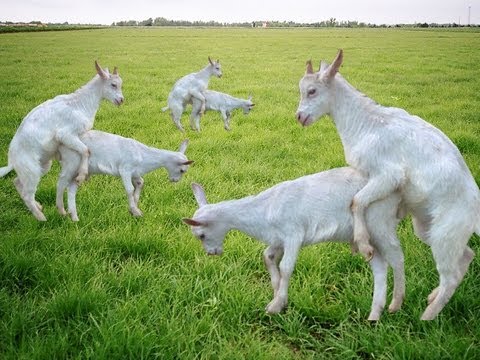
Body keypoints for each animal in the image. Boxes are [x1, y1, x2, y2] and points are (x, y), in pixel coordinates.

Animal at [0, 60, 124, 221]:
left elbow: (86, 149)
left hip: (40, 166)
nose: (121, 100)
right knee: (27, 193)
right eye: (113, 85)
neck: (80, 104)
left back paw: (38, 207)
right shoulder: (65, 134)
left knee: (17, 182)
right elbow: (86, 150)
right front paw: (81, 175)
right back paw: (42, 218)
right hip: (31, 169)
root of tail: (11, 159)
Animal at [58, 131, 195, 221]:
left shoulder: (135, 173)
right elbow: (129, 189)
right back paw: (62, 210)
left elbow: (140, 183)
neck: (143, 155)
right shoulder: (125, 169)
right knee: (61, 181)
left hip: (79, 172)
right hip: (72, 162)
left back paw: (74, 217)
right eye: (182, 170)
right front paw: (135, 211)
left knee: (71, 188)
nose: (174, 180)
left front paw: (134, 209)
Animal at [183, 167, 404, 320]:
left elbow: (286, 267)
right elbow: (267, 257)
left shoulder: (293, 235)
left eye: (201, 235)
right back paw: (374, 315)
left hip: (379, 222)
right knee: (380, 266)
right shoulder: (278, 239)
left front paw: (276, 305)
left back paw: (396, 303)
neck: (265, 209)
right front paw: (276, 293)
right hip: (368, 237)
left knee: (397, 257)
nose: (212, 253)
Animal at [296, 48, 480, 320]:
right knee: (466, 255)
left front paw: (364, 245)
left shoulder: (388, 175)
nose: (299, 117)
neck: (367, 123)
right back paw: (432, 298)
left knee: (451, 275)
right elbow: (356, 200)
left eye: (312, 91)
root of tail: (476, 211)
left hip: (447, 232)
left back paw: (427, 317)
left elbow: (356, 201)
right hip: (429, 228)